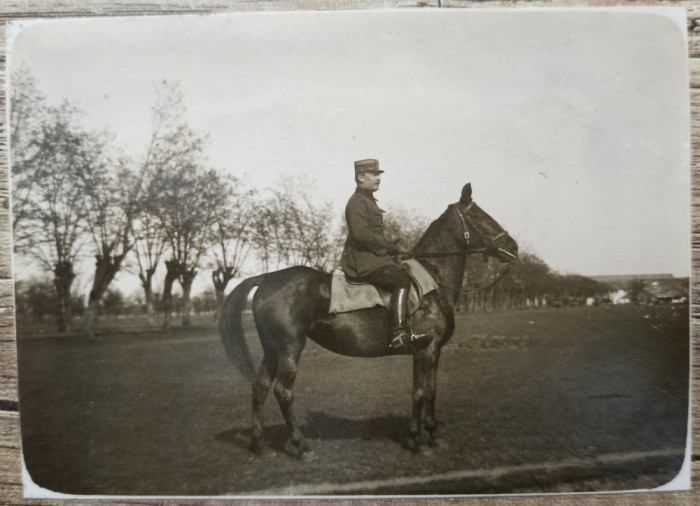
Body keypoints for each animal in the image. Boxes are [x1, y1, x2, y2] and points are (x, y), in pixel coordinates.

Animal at [220, 184, 520, 460]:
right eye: (479, 216)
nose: (513, 248)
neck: (433, 281)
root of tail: (266, 278)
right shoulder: (426, 350)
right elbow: (421, 393)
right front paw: (419, 440)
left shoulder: (431, 352)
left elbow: (429, 392)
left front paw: (431, 436)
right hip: (290, 347)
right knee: (283, 392)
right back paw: (302, 445)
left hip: (272, 349)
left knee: (259, 386)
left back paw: (258, 444)